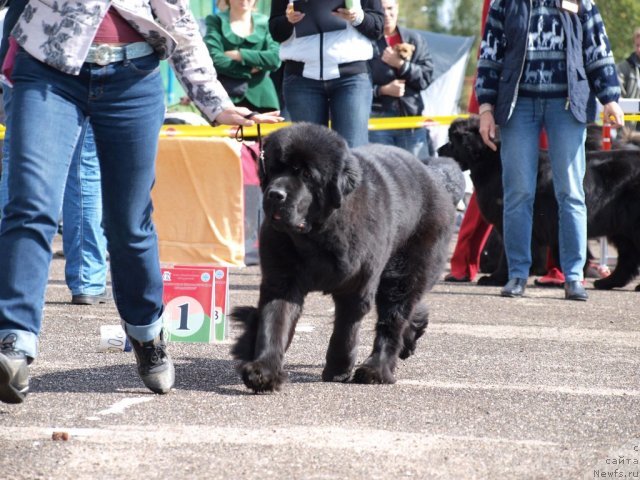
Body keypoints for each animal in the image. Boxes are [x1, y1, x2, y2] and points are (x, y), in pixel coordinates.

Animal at [230, 122, 456, 392]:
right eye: (274, 170)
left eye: (307, 175)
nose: (275, 194)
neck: (315, 236)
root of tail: (435, 177)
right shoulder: (282, 279)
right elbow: (274, 322)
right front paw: (263, 370)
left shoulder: (357, 285)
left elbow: (345, 330)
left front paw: (338, 369)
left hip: (405, 269)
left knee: (393, 318)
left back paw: (376, 370)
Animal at [438, 114, 640, 290]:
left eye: (453, 141)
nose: (439, 150)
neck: (492, 161)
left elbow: (509, 252)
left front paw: (497, 278)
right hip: (621, 229)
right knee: (628, 258)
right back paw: (608, 282)